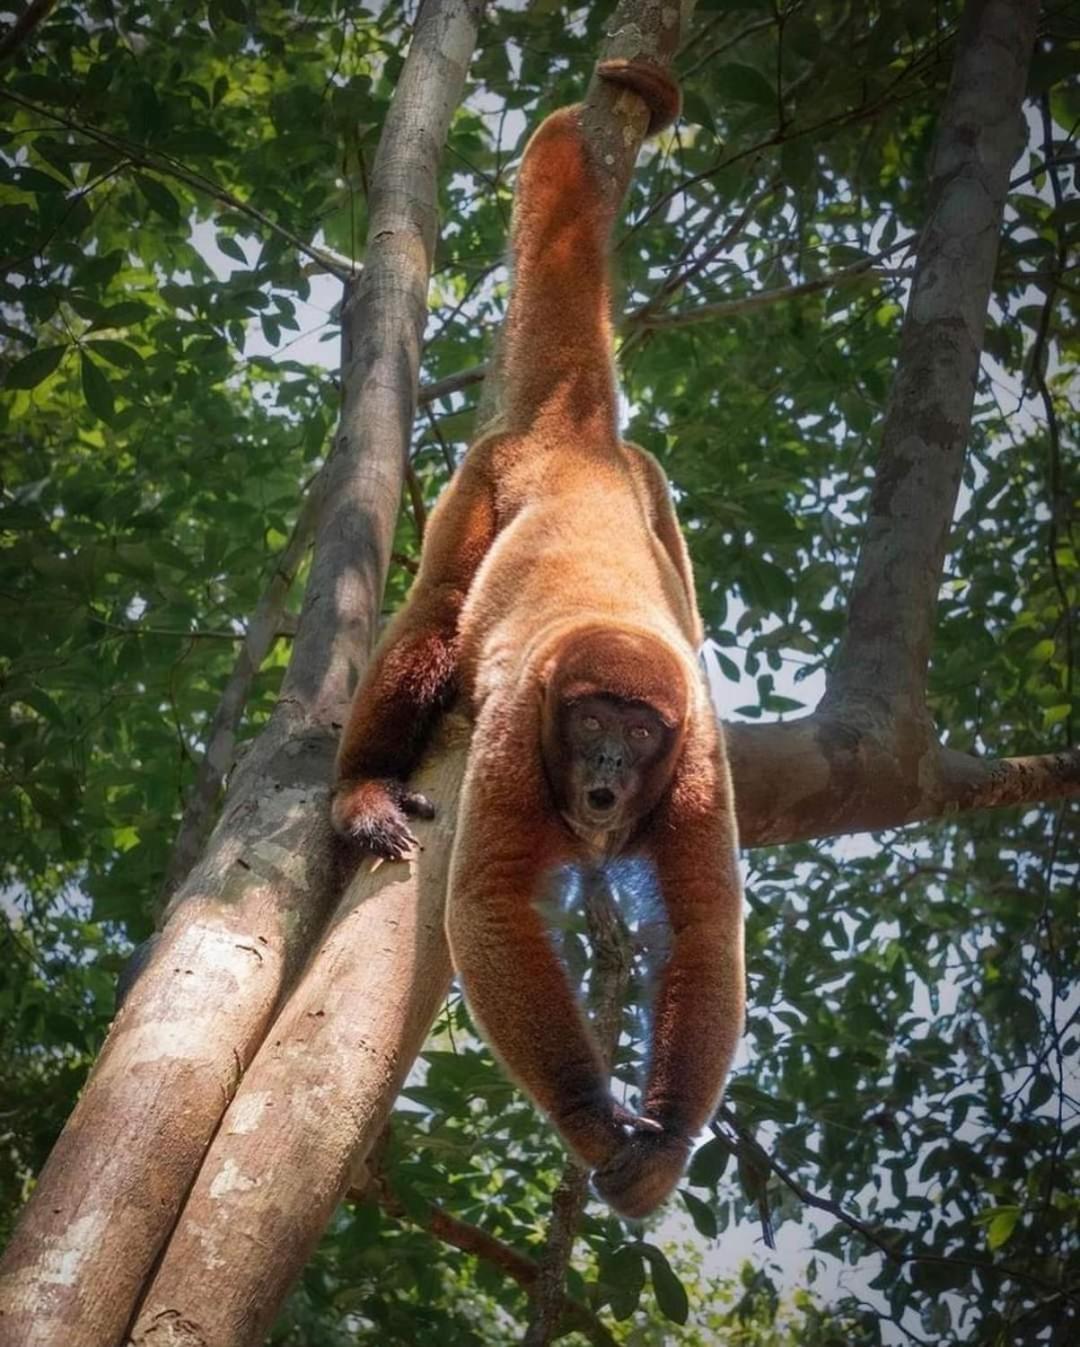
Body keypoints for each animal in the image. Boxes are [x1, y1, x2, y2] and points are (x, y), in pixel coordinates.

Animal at [332, 63, 743, 1223]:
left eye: (640, 733)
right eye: (592, 718)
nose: (604, 763)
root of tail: (577, 442)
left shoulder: (699, 761)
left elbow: (706, 926)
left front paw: (666, 1144)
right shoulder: (524, 728)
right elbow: (490, 903)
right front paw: (594, 1120)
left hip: (654, 487)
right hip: (482, 479)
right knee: (432, 618)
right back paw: (362, 788)